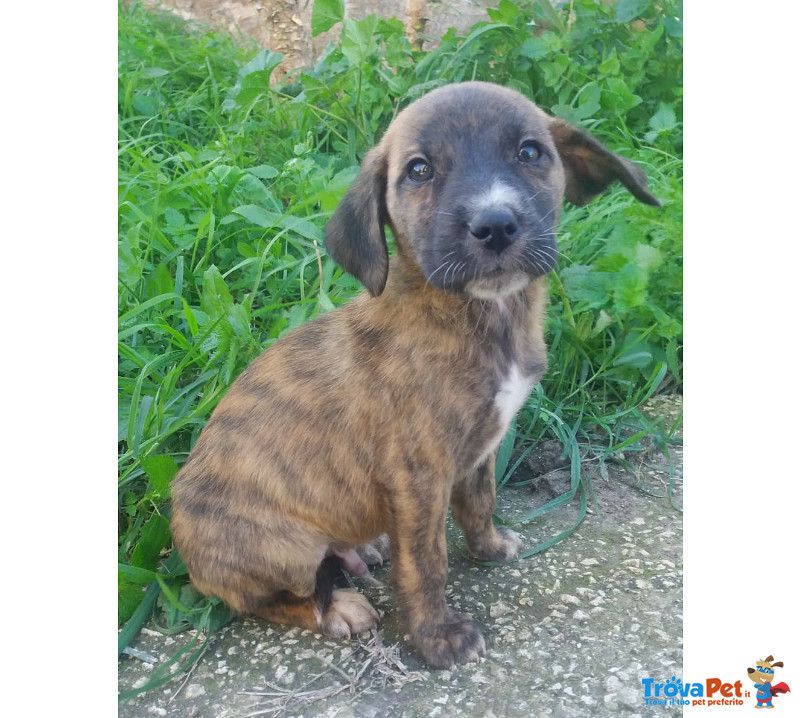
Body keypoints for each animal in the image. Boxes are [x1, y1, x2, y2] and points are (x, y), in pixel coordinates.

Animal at [170, 81, 664, 672]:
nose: (495, 226)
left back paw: (363, 549)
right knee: (267, 600)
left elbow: (480, 503)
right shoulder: (418, 476)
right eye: (419, 170)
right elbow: (427, 562)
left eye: (529, 152)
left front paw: (490, 548)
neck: (475, 315)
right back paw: (336, 608)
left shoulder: (478, 450)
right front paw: (438, 637)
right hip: (282, 549)